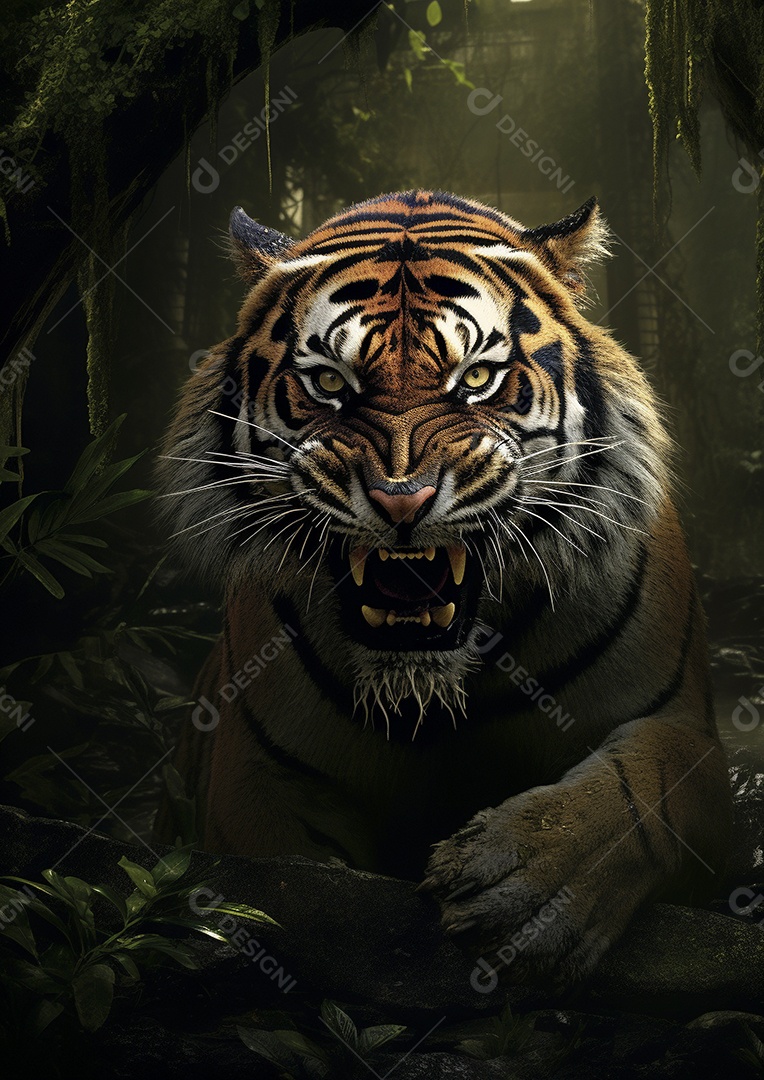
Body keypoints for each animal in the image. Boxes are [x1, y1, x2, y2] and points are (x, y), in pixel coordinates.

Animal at [156, 189, 732, 989]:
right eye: (329, 384)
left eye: (477, 380)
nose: (402, 501)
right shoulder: (255, 780)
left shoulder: (686, 731)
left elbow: (643, 787)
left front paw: (525, 891)